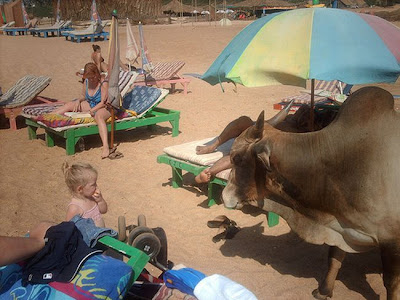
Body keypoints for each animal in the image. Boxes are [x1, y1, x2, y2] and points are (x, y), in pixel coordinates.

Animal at [222, 86, 400, 298]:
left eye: (236, 158)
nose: (224, 196)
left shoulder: (392, 241)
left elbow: (391, 283)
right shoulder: (341, 223)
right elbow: (334, 257)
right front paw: (324, 290)